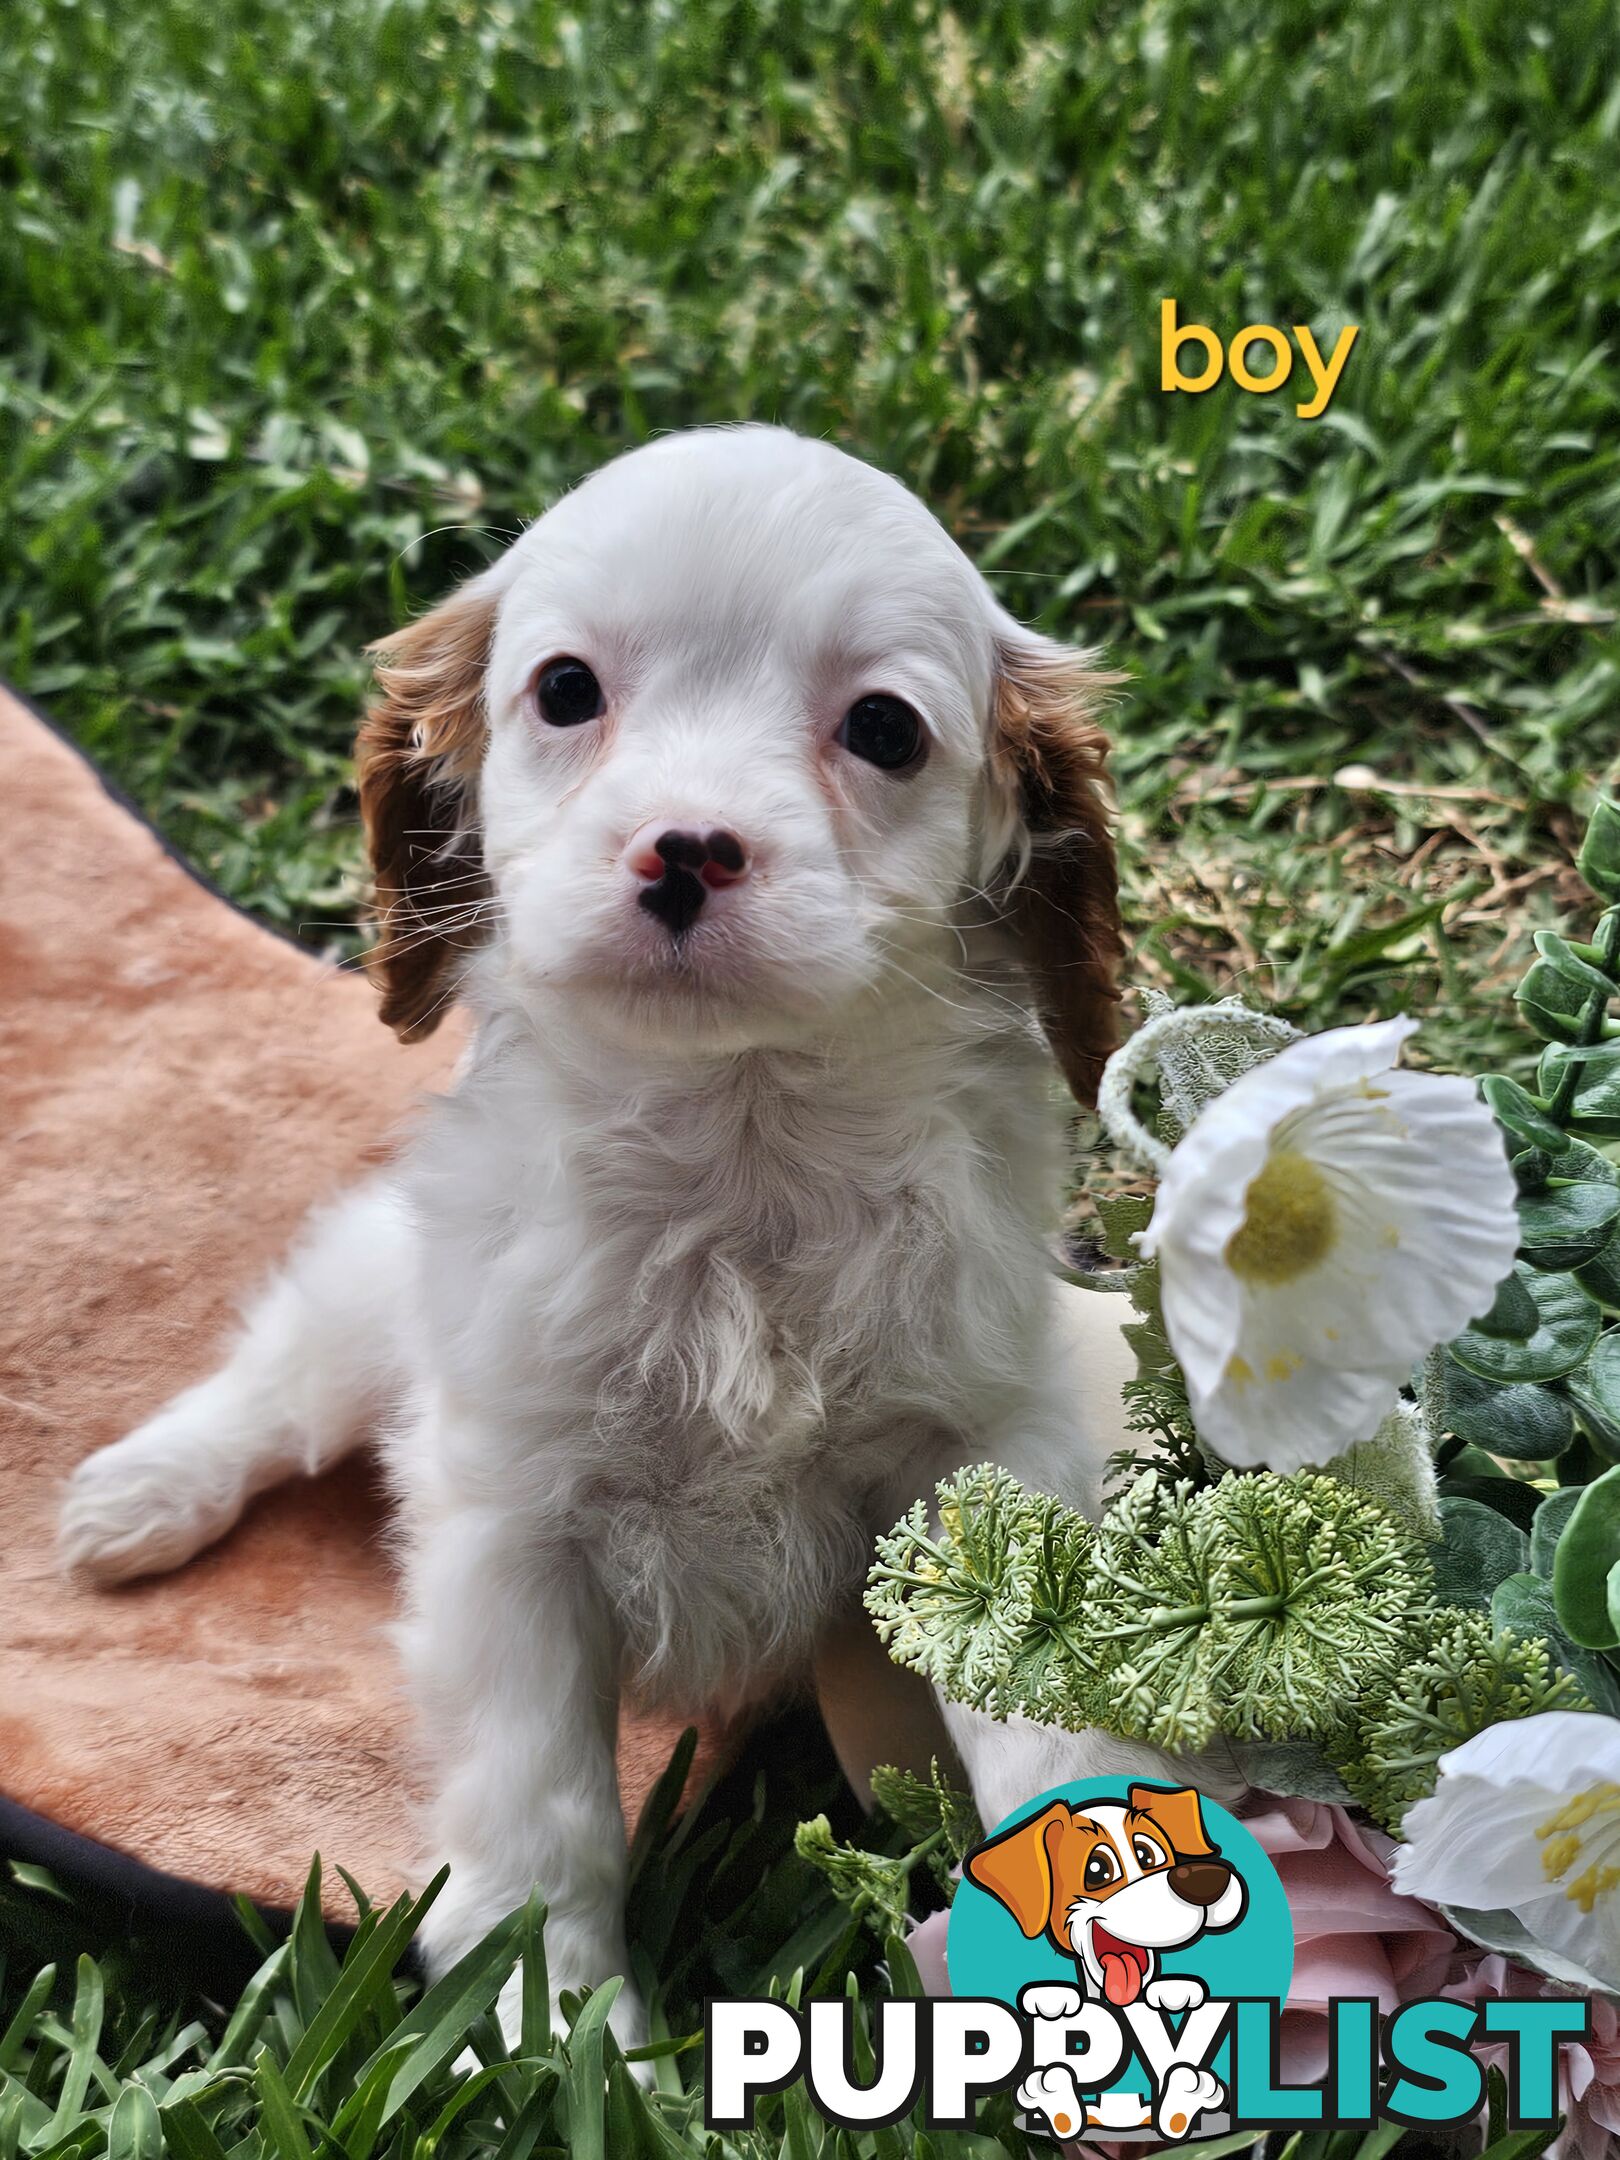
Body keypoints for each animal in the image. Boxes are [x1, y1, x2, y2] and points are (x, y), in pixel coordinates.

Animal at [60, 425, 1131, 2056]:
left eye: (883, 729)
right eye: (567, 691)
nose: (687, 848)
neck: (743, 1138)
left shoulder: (983, 1448)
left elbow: (1042, 1726)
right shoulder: (514, 1533)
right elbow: (544, 1810)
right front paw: (566, 2036)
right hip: (385, 1283)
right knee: (287, 1379)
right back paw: (142, 1498)